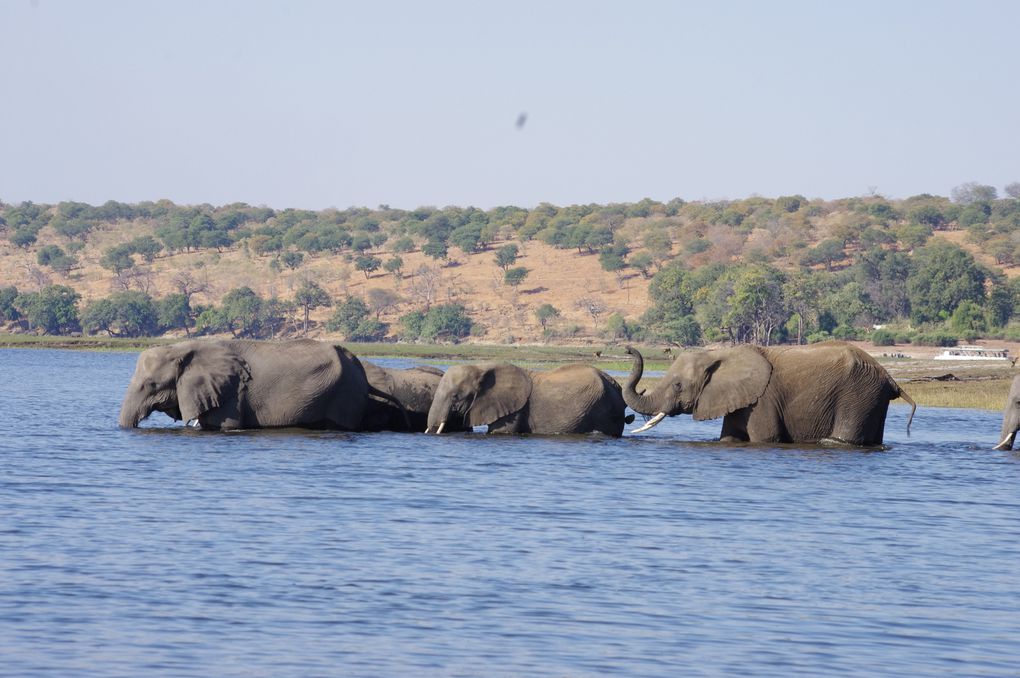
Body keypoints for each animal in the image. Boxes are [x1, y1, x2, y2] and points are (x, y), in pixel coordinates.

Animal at [620, 338, 918, 444]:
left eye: (678, 385)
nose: (627, 348)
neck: (720, 355)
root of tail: (889, 377)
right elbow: (729, 438)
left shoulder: (762, 400)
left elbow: (766, 438)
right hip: (871, 398)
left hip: (857, 394)